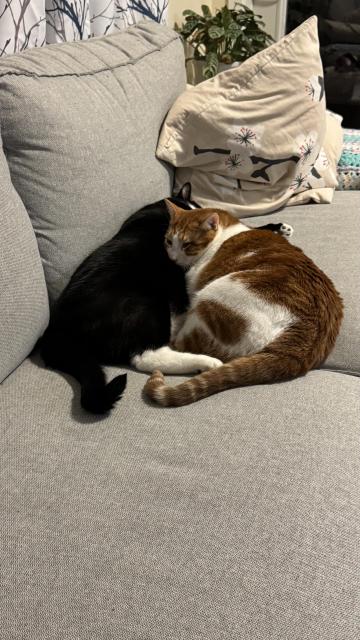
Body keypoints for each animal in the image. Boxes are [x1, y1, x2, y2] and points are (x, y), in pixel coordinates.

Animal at [133, 202, 344, 408]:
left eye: (187, 245)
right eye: (169, 241)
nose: (173, 259)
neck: (225, 233)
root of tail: (303, 340)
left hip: (215, 293)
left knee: (178, 346)